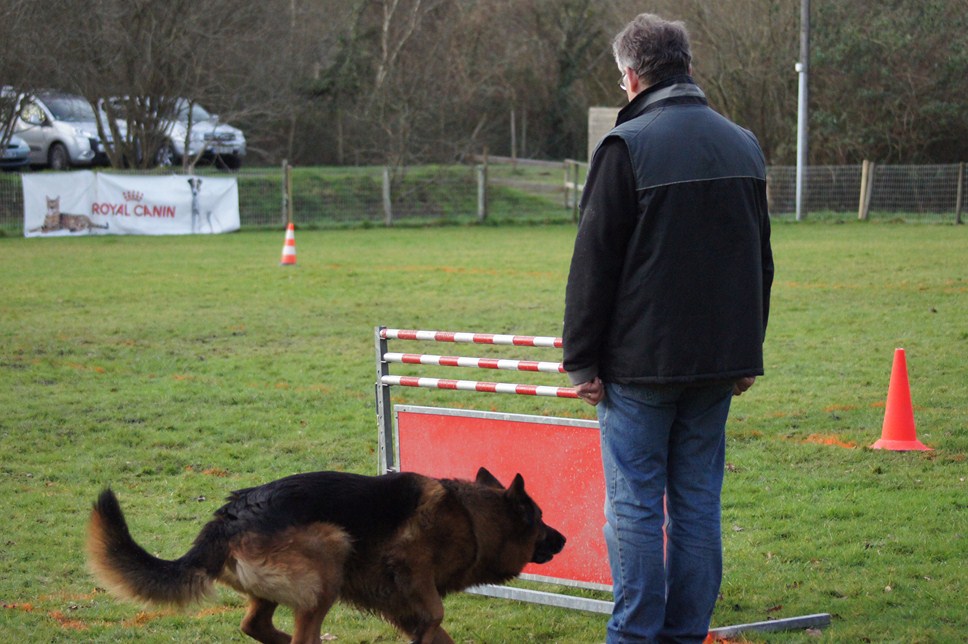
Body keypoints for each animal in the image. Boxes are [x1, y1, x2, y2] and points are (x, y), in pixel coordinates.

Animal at [89, 468, 568, 644]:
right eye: (541, 520)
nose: (563, 540)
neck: (470, 517)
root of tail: (227, 518)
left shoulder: (403, 603)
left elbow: (435, 632)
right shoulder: (410, 567)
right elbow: (434, 615)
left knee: (254, 625)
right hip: (330, 553)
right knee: (300, 637)